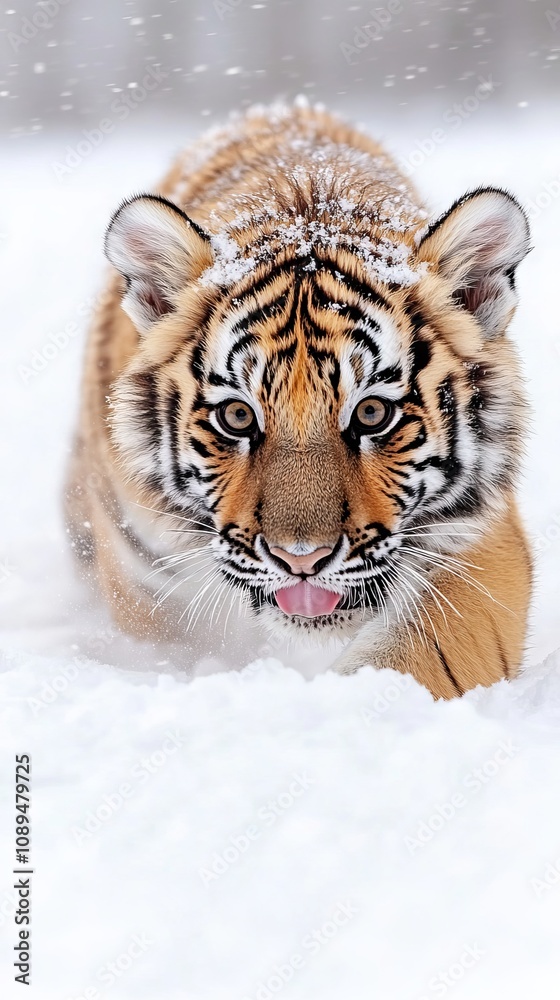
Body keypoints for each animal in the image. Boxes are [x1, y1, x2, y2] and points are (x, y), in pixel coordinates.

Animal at [65, 99, 533, 698]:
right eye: (237, 416)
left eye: (372, 414)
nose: (300, 560)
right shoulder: (146, 588)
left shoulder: (479, 543)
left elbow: (409, 661)